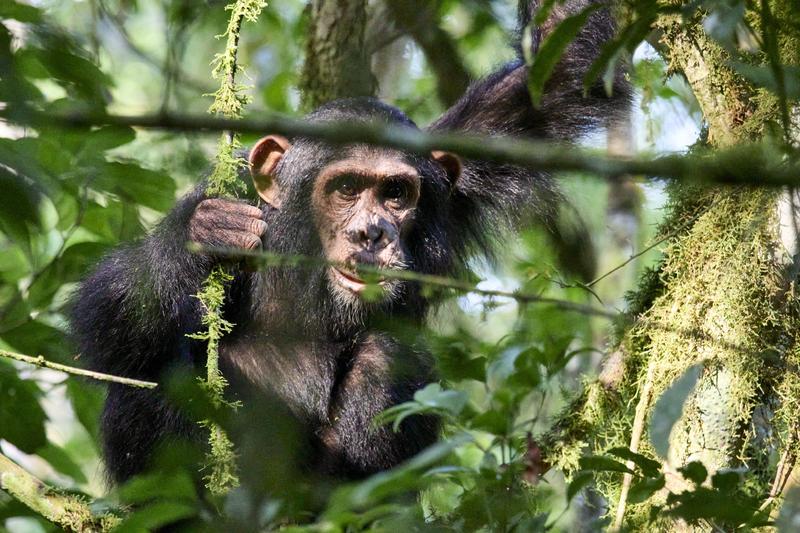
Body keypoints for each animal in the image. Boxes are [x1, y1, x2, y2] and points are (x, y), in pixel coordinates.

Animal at [70, 0, 632, 482]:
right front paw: (202, 232)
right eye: (345, 189)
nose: (371, 231)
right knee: (152, 372)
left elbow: (557, 74)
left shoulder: (469, 162)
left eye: (395, 193)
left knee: (388, 352)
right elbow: (107, 322)